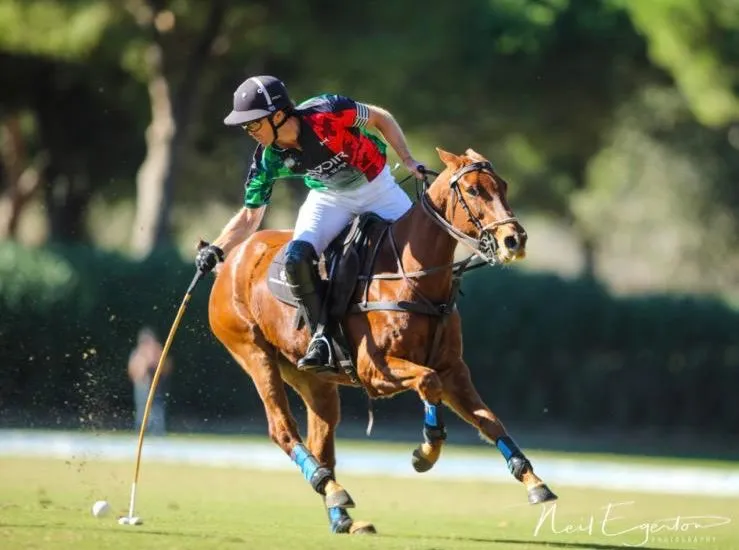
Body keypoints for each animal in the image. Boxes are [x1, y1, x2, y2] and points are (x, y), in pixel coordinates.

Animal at [207, 147, 557, 534]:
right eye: (473, 190)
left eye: (503, 185)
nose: (515, 240)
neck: (413, 276)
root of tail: (232, 259)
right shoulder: (375, 371)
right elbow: (428, 382)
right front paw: (426, 452)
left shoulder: (453, 368)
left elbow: (488, 419)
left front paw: (534, 482)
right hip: (254, 353)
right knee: (282, 430)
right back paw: (331, 489)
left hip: (313, 378)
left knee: (320, 442)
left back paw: (340, 512)